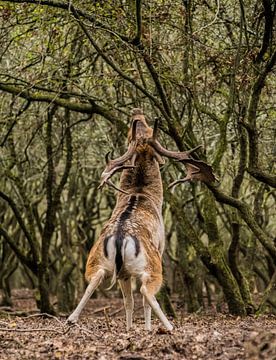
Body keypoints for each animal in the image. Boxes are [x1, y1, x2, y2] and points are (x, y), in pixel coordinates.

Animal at [67, 107, 216, 332]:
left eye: (136, 129)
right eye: (144, 128)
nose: (136, 113)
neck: (141, 193)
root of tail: (120, 238)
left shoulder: (123, 273)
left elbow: (128, 301)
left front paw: (130, 329)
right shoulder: (161, 246)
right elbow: (142, 300)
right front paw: (146, 328)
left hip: (96, 261)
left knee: (94, 280)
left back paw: (71, 319)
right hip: (151, 265)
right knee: (147, 291)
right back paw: (169, 327)